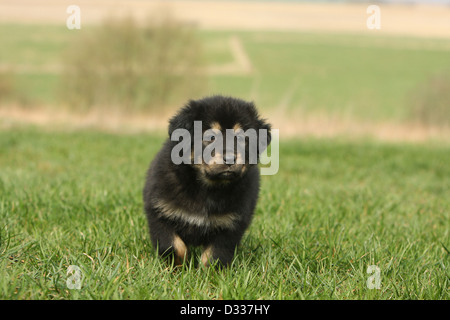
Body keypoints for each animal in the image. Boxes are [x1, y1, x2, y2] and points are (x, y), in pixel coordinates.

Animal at [143, 95, 270, 268]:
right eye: (211, 137)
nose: (230, 158)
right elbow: (173, 246)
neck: (207, 187)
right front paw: (178, 268)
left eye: (241, 138)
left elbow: (214, 255)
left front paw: (207, 274)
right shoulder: (160, 213)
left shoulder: (230, 225)